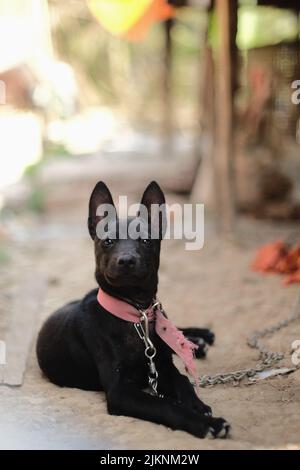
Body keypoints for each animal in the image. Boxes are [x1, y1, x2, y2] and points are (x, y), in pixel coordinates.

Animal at [37, 182, 230, 438]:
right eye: (108, 241)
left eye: (146, 241)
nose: (127, 261)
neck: (137, 316)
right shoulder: (120, 391)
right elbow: (165, 405)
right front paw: (205, 423)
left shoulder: (163, 366)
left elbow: (183, 382)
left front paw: (198, 406)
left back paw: (197, 338)